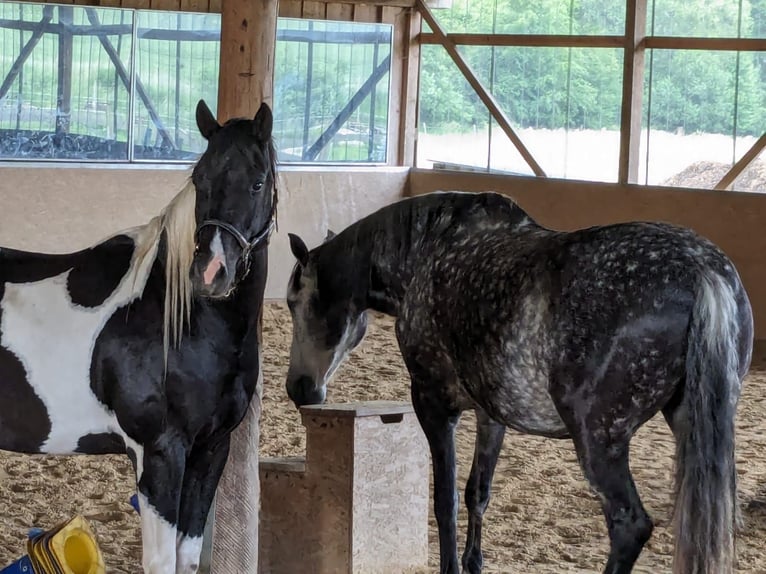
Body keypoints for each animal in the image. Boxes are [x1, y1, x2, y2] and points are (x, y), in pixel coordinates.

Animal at [0, 100, 276, 574]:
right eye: (199, 179)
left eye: (258, 181)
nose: (210, 273)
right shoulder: (160, 453)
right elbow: (161, 561)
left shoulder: (210, 451)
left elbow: (187, 557)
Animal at [286, 194, 756, 574]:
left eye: (295, 301)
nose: (299, 388)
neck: (429, 252)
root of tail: (701, 273)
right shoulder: (490, 414)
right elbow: (477, 493)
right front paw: (474, 563)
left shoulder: (434, 406)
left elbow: (445, 501)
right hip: (691, 426)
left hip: (600, 439)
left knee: (630, 526)